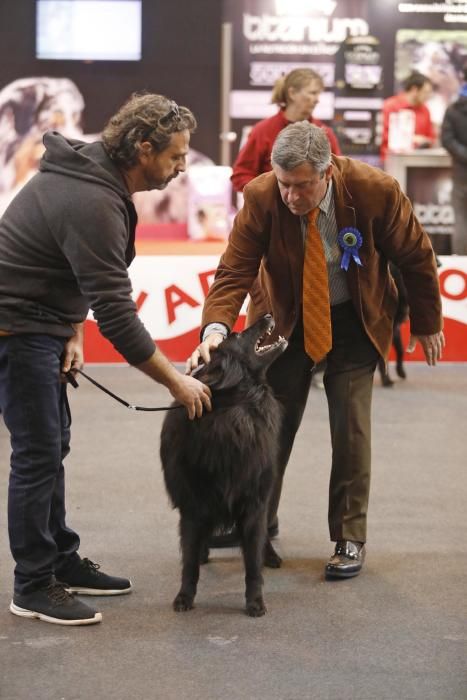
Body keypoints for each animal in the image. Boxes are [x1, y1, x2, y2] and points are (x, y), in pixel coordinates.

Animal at [160, 314, 288, 616]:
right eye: (238, 334)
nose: (267, 315)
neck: (234, 413)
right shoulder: (192, 506)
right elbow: (189, 561)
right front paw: (184, 596)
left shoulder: (254, 503)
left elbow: (252, 561)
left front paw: (255, 601)